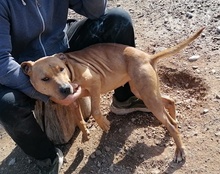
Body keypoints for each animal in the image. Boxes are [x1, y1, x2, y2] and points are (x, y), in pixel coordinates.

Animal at [21, 27, 204, 162]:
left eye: (61, 69)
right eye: (45, 79)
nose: (66, 89)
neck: (71, 69)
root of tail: (148, 56)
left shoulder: (94, 83)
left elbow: (95, 111)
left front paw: (104, 125)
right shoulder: (73, 100)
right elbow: (79, 118)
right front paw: (85, 133)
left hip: (148, 96)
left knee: (170, 123)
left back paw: (179, 150)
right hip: (144, 92)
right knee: (170, 102)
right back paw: (174, 121)